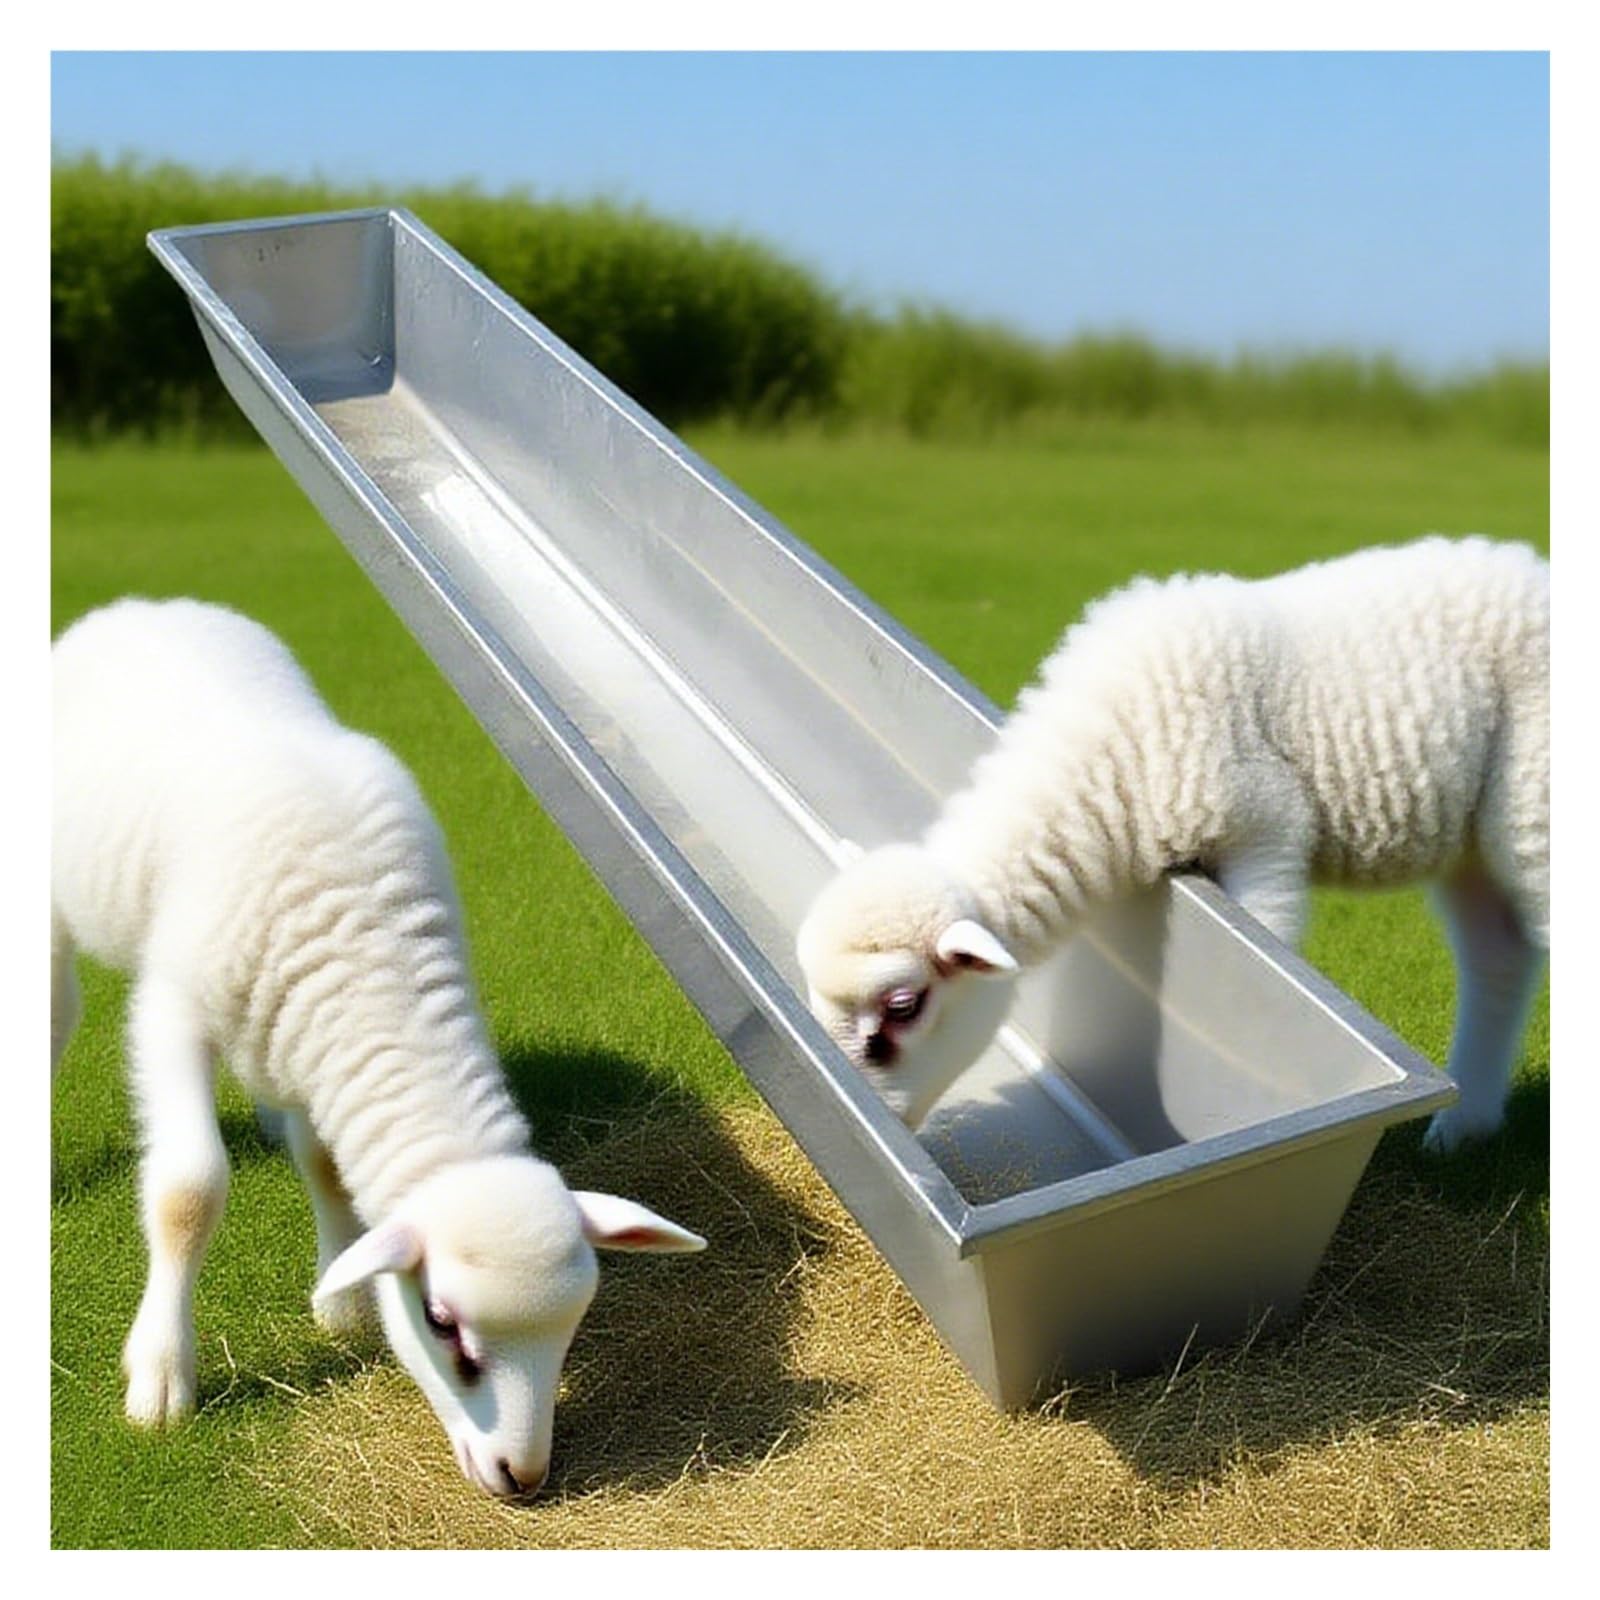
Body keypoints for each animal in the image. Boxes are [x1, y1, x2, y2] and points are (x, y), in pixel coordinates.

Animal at [51, 597, 706, 1497]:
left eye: (575, 1326)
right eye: (443, 1323)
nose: (524, 1476)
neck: (367, 944)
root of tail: (142, 608)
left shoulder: (315, 1032)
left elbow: (324, 1164)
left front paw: (342, 1296)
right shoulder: (173, 1014)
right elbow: (187, 1192)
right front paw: (160, 1377)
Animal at [798, 536, 1549, 1151]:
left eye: (903, 1008)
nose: (877, 1131)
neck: (1109, 765)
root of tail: (1532, 566)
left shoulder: (1264, 832)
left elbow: (1269, 961)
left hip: (1533, 802)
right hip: (1474, 844)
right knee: (1500, 958)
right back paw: (1464, 1127)